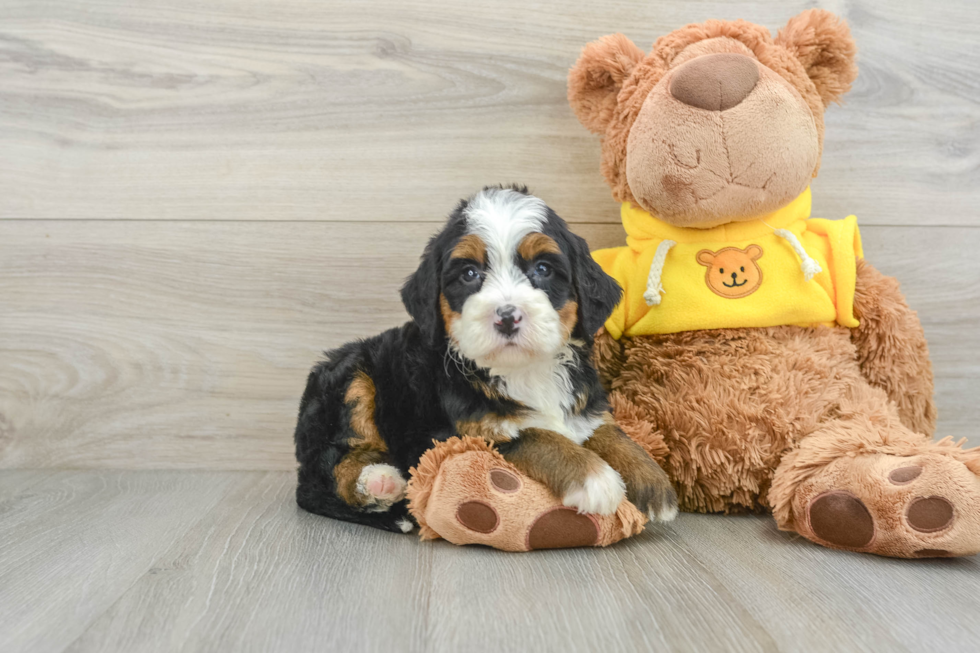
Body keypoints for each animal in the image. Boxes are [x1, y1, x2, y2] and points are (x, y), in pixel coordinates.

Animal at [292, 186, 672, 532]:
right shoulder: (460, 435)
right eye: (470, 274)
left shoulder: (586, 406)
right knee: (331, 464)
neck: (525, 370)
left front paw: (652, 482)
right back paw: (378, 483)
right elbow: (537, 436)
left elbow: (610, 432)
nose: (507, 317)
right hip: (352, 376)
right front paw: (594, 478)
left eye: (543, 268)